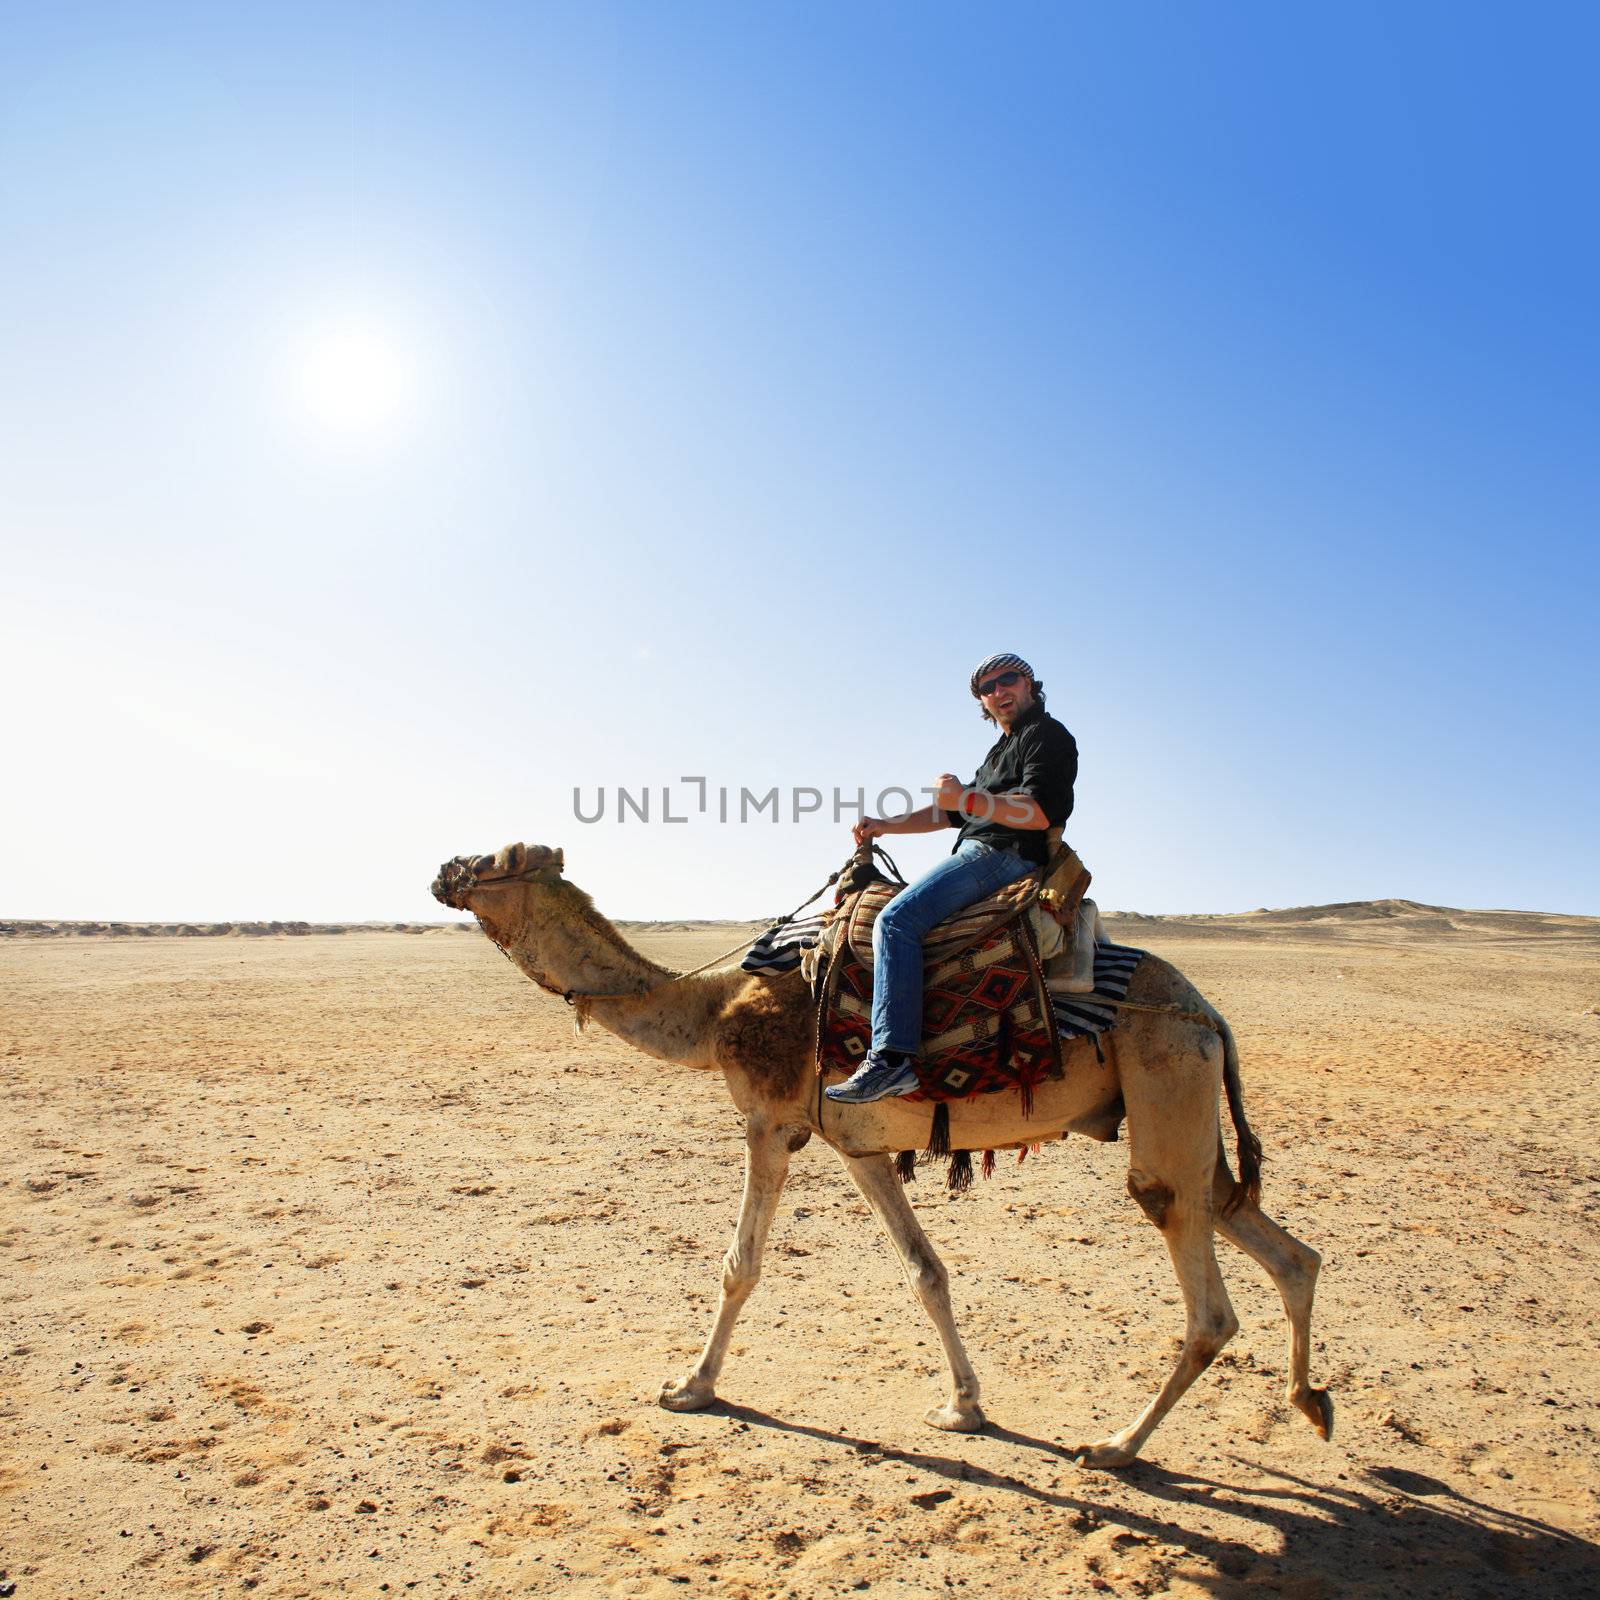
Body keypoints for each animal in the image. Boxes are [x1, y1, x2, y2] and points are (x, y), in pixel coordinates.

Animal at [432, 844, 1331, 1465]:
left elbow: (740, 1266)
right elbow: (925, 1271)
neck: (712, 1009)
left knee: (1203, 1289)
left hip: (1167, 1077)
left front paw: (690, 1387)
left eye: (498, 859)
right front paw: (963, 1407)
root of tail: (1208, 1012)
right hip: (1185, 1113)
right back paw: (1309, 1401)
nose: (443, 869)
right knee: (1282, 1246)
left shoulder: (769, 1121)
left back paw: (1115, 1447)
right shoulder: (854, 1145)